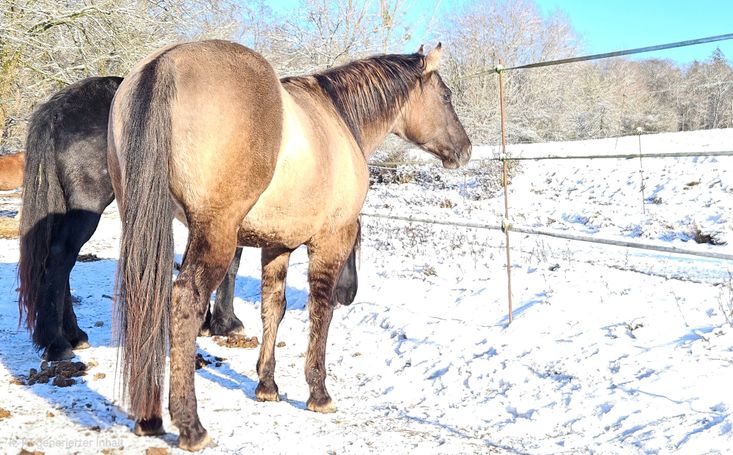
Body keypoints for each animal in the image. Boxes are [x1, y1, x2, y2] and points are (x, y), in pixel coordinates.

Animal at [18, 75, 361, 361]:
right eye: (355, 241)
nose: (347, 295)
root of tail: (56, 109)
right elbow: (231, 266)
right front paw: (225, 322)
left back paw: (72, 334)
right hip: (87, 207)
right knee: (61, 258)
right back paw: (57, 343)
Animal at [109, 39, 470, 450]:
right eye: (446, 95)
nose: (465, 149)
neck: (338, 116)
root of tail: (166, 63)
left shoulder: (275, 246)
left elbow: (273, 308)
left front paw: (267, 384)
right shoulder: (331, 239)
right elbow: (320, 310)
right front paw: (319, 391)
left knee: (145, 296)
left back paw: (148, 417)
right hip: (214, 233)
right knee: (184, 301)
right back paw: (190, 425)